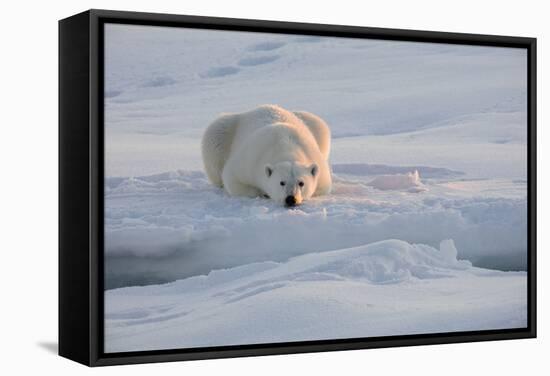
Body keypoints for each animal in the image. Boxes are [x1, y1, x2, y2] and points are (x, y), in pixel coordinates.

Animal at [203, 104, 332, 207]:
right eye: (281, 182)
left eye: (301, 183)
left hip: (312, 122)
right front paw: (263, 192)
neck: (286, 147)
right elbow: (233, 179)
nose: (291, 199)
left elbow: (322, 188)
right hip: (224, 131)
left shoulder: (318, 165)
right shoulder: (250, 159)